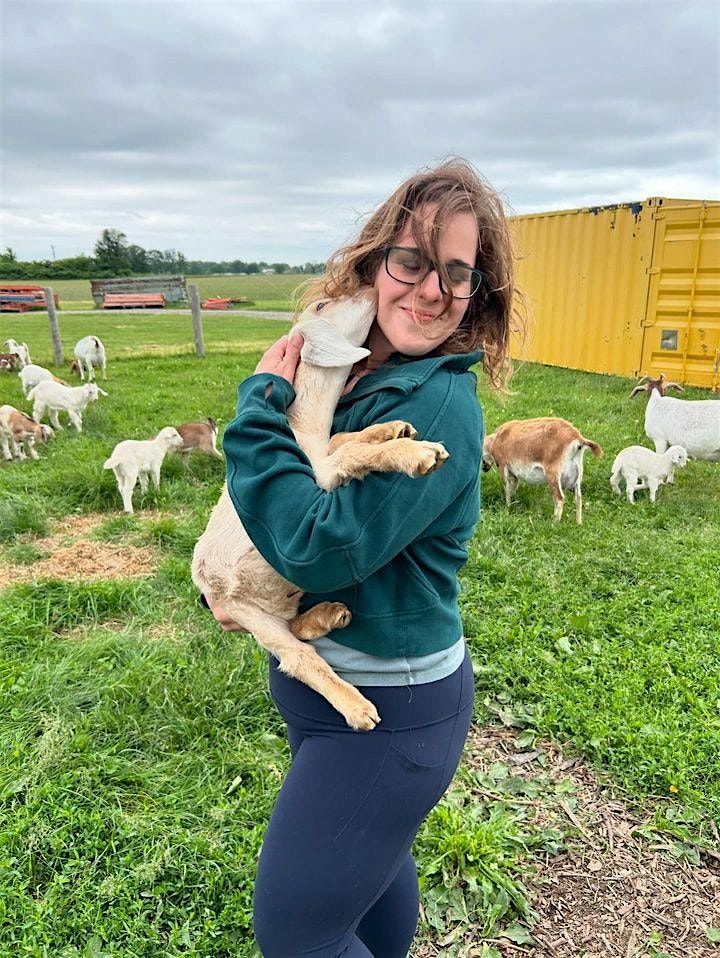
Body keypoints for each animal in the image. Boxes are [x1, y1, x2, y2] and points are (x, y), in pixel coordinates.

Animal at [191, 288, 450, 732]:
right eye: (323, 306)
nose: (371, 290)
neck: (304, 428)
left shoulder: (323, 449)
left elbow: (342, 440)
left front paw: (391, 428)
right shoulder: (317, 478)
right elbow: (351, 456)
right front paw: (415, 452)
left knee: (294, 628)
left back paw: (325, 616)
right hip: (246, 609)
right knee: (297, 657)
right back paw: (357, 707)